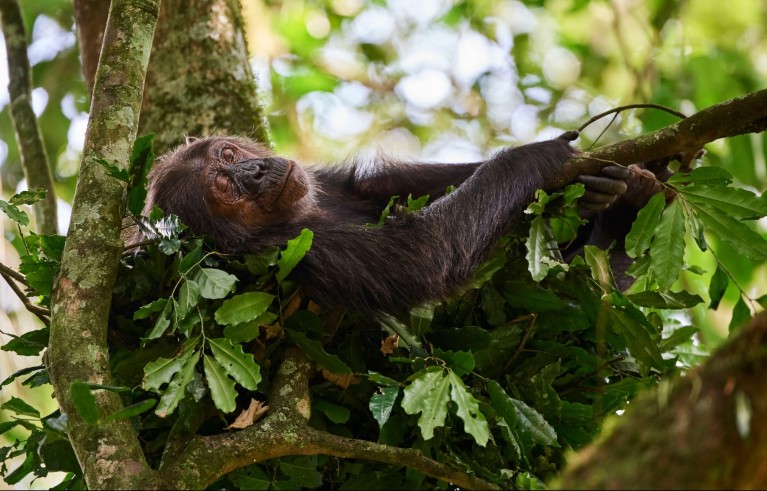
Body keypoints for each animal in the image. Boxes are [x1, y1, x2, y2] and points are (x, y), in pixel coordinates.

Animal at [137, 131, 654, 312]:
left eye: (228, 154)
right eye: (223, 188)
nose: (255, 171)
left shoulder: (326, 181)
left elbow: (386, 187)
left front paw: (595, 186)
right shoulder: (297, 250)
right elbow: (423, 251)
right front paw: (537, 156)